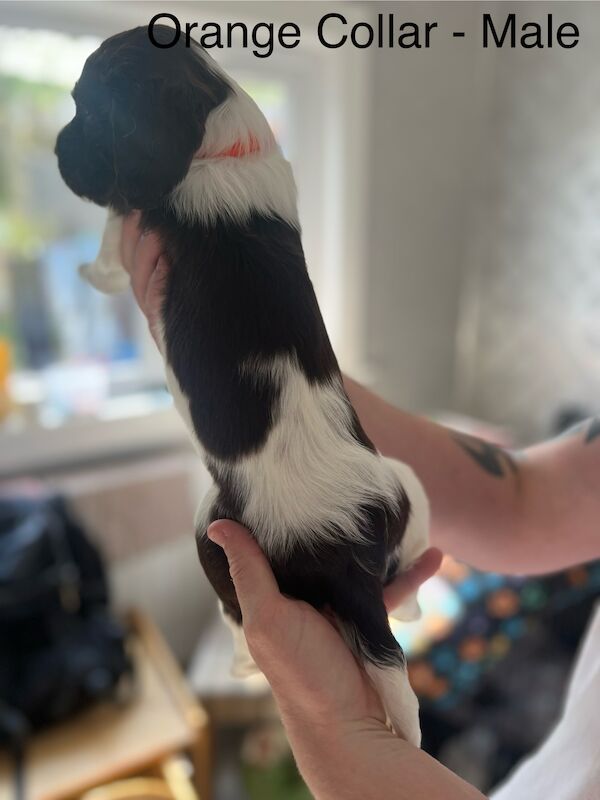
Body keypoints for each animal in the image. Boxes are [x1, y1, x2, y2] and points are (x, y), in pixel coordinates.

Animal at [56, 26, 428, 752]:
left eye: (88, 108)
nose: (58, 152)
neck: (217, 133)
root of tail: (342, 548)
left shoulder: (135, 210)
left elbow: (113, 233)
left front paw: (92, 269)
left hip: (211, 526)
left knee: (233, 615)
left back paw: (240, 659)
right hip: (403, 485)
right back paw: (417, 600)